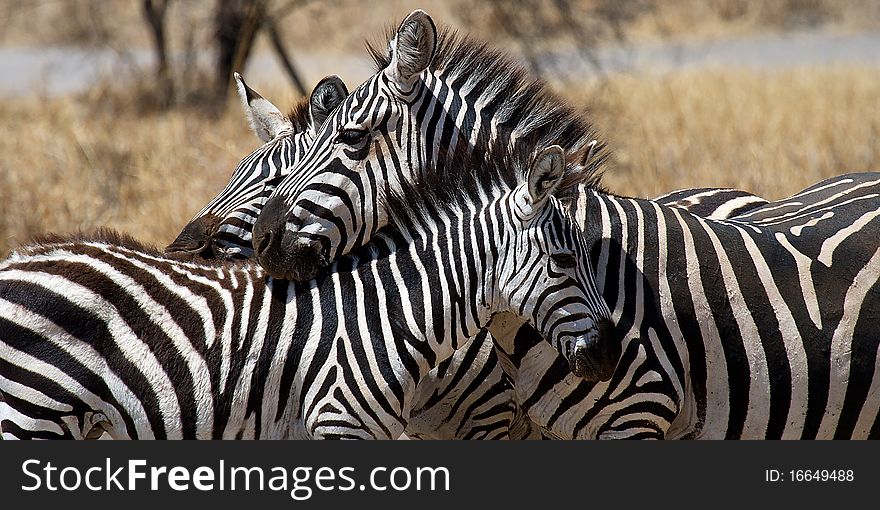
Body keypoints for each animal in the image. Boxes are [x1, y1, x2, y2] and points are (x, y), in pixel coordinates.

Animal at [0, 145, 616, 440]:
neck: (390, 313)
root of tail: (16, 259)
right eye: (565, 261)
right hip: (28, 415)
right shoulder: (337, 425)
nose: (610, 354)